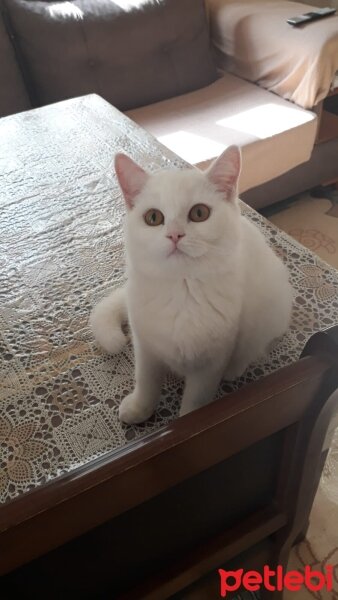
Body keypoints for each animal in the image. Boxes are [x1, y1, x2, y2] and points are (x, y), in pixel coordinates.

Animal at [90, 148, 294, 424]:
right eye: (153, 218)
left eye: (199, 213)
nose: (175, 235)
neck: (182, 290)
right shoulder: (146, 349)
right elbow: (146, 382)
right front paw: (139, 408)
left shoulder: (210, 365)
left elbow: (195, 405)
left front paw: (189, 423)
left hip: (269, 311)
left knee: (252, 347)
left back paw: (235, 368)